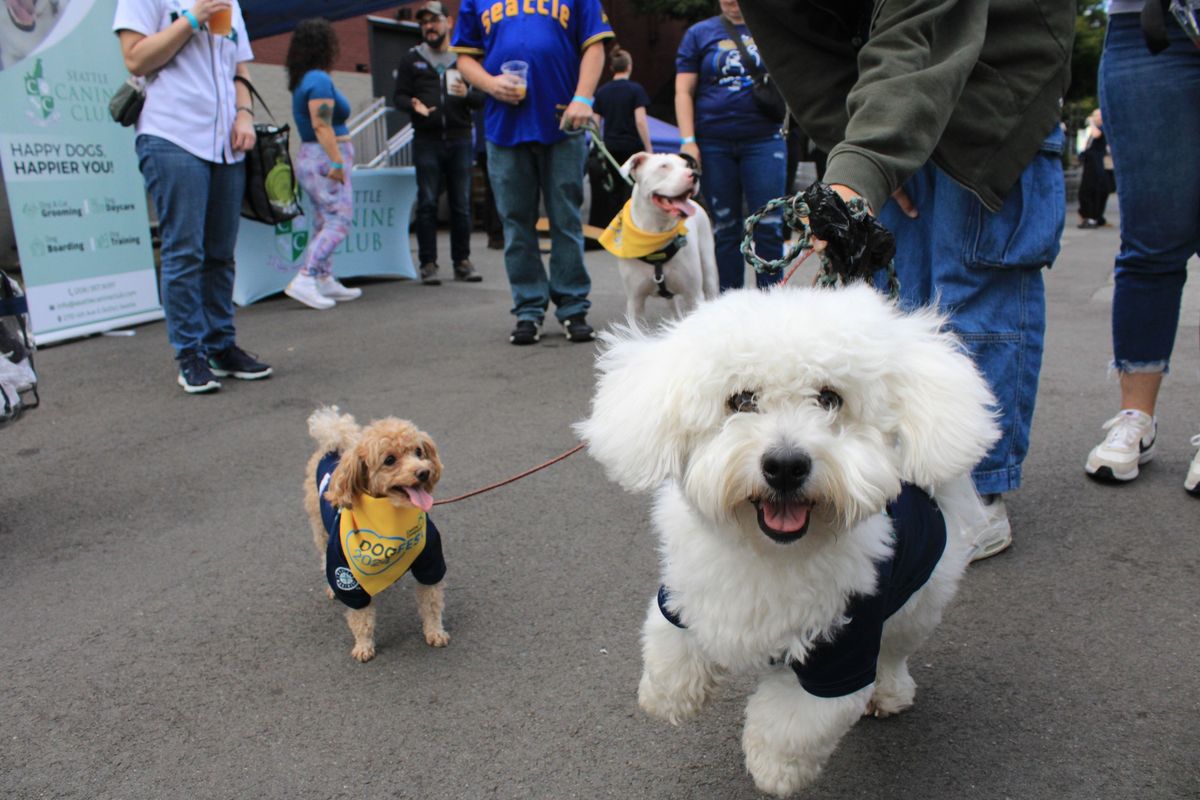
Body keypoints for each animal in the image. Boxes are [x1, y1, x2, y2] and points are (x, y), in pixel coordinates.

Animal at [576, 286, 998, 796]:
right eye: (741, 399)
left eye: (830, 398)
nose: (785, 465)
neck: (770, 554)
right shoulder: (684, 593)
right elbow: (668, 641)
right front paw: (668, 694)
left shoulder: (843, 650)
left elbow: (793, 723)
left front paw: (774, 770)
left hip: (918, 599)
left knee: (896, 651)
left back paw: (889, 692)